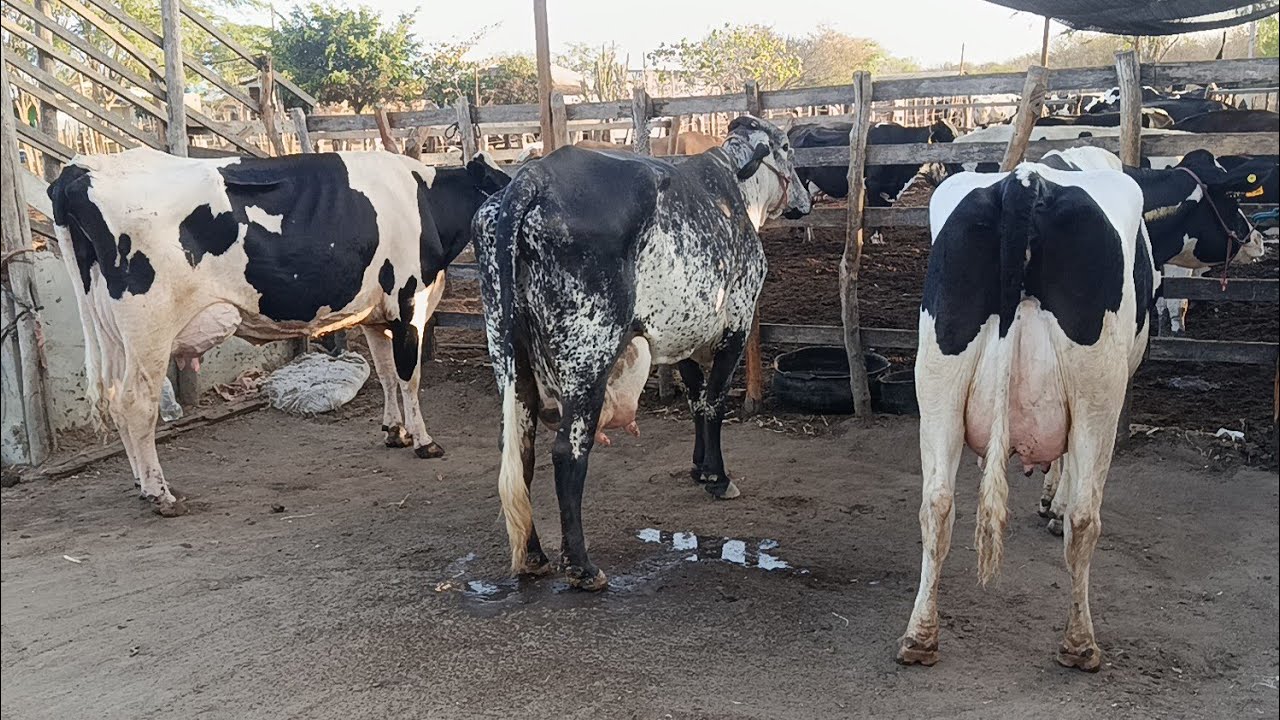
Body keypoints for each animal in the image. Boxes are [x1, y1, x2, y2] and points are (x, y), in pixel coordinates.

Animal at [46, 148, 509, 516]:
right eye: (506, 183)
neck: (424, 200)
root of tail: (79, 171)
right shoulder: (409, 301)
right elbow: (410, 377)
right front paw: (424, 441)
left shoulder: (377, 314)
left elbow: (386, 375)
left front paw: (394, 431)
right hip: (150, 329)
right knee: (135, 404)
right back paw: (161, 494)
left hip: (112, 333)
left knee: (113, 399)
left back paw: (142, 485)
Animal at [473, 115, 809, 590]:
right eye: (787, 149)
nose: (805, 199)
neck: (734, 189)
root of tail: (532, 177)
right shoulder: (736, 326)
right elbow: (714, 402)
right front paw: (718, 478)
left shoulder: (682, 334)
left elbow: (695, 400)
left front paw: (699, 468)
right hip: (587, 356)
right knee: (567, 451)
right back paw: (581, 566)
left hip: (509, 357)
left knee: (519, 452)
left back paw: (535, 556)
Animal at [897, 154, 1160, 672]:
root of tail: (1027, 180)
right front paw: (1052, 502)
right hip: (1099, 388)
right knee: (1085, 517)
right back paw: (1080, 645)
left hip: (937, 372)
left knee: (936, 504)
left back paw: (920, 637)